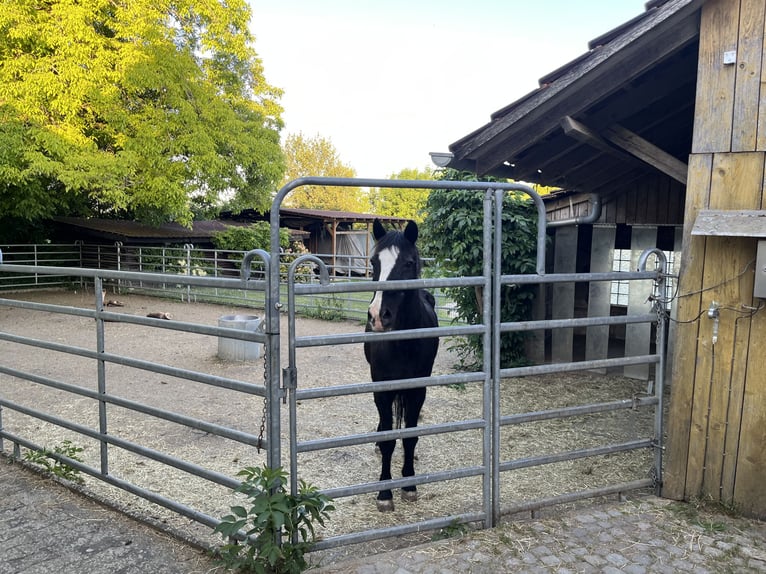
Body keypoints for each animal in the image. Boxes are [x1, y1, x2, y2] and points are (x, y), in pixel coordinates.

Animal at [364, 219, 439, 512]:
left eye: (408, 263)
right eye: (374, 262)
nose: (378, 316)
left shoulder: (417, 390)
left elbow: (409, 435)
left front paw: (409, 484)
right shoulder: (382, 388)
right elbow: (388, 440)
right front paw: (385, 492)